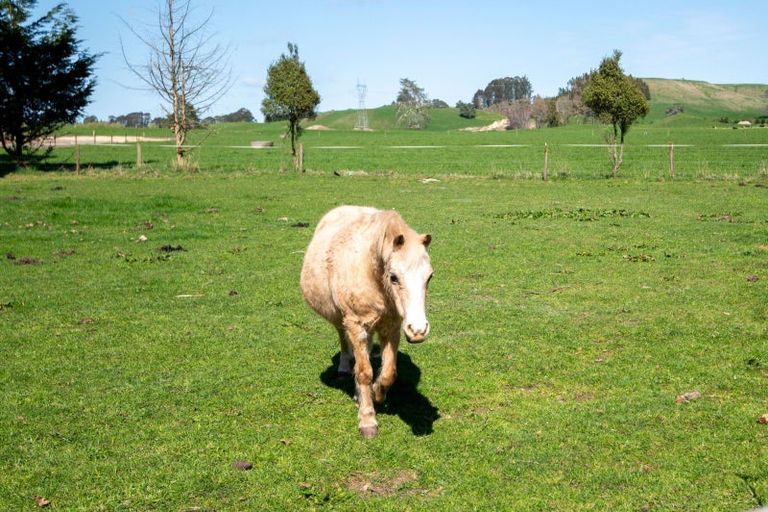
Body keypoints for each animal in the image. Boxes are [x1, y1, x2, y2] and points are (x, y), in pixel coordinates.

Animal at [300, 206, 432, 438]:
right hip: (342, 320)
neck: (370, 273)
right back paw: (345, 369)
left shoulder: (392, 327)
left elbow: (388, 372)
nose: (418, 331)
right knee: (344, 340)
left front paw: (377, 392)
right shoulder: (356, 325)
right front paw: (367, 419)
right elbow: (364, 372)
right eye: (394, 277)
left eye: (429, 277)